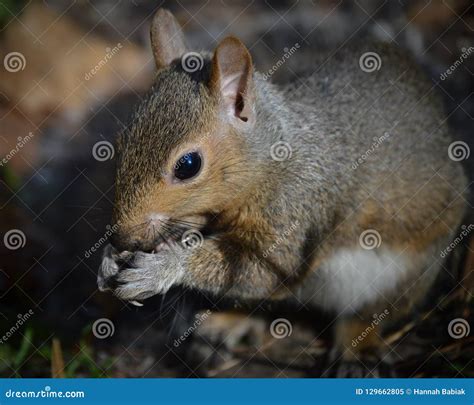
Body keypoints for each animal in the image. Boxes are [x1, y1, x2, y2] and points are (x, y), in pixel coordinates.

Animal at [96, 8, 466, 376]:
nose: (121, 237)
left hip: (404, 274)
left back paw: (354, 351)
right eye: (121, 141)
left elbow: (261, 269)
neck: (270, 165)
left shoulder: (297, 210)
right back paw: (229, 320)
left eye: (188, 165)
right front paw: (110, 260)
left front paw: (163, 267)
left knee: (369, 314)